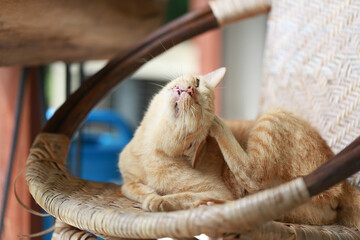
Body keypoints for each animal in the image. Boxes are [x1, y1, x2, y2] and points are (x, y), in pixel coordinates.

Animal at [119, 68, 360, 229]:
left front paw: (158, 199)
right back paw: (210, 205)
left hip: (272, 115)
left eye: (199, 107)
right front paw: (146, 191)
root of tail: (345, 184)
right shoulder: (127, 176)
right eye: (197, 82)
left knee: (251, 175)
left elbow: (180, 195)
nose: (189, 89)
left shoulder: (217, 189)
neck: (147, 146)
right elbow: (127, 186)